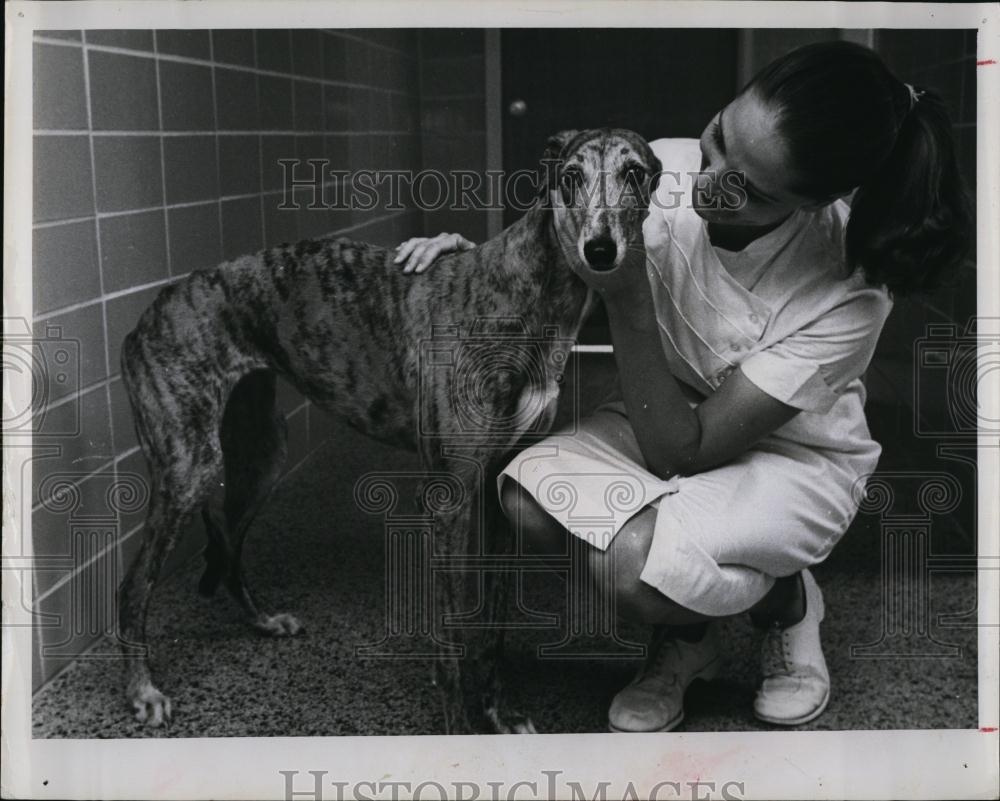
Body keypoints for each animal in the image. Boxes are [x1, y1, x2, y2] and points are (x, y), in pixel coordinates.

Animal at [117, 128, 660, 736]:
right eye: (570, 176)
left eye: (635, 173)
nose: (601, 250)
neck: (524, 293)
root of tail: (152, 309)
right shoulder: (449, 496)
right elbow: (452, 635)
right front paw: (460, 730)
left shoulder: (497, 485)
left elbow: (492, 623)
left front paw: (499, 714)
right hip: (190, 468)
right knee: (133, 585)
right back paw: (142, 690)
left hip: (262, 456)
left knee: (229, 548)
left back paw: (263, 621)